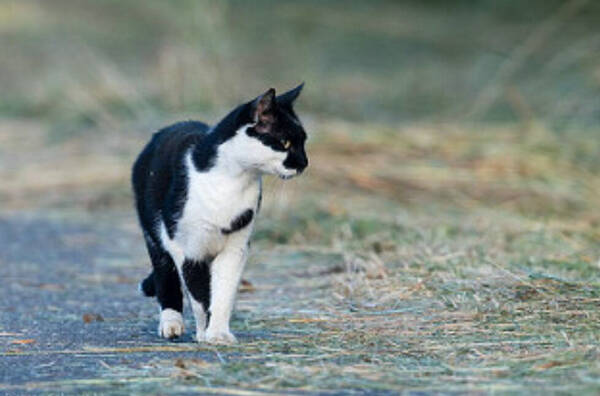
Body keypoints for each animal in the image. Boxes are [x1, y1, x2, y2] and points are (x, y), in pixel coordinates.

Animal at [133, 83, 308, 344]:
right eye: (285, 142)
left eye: (304, 142)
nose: (305, 162)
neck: (231, 181)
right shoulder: (187, 249)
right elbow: (199, 295)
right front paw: (203, 333)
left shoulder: (236, 248)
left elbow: (223, 294)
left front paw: (218, 333)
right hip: (154, 233)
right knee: (166, 276)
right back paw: (171, 324)